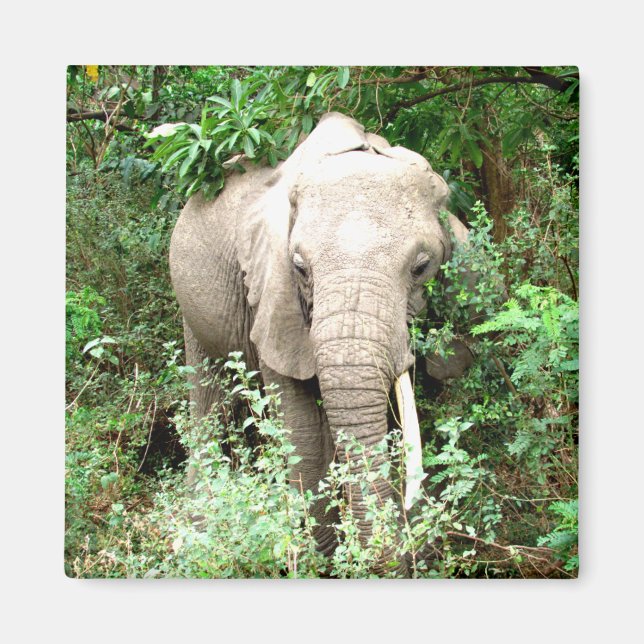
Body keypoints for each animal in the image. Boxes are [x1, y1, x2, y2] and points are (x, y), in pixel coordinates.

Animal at [169, 112, 473, 575]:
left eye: (422, 266)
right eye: (299, 268)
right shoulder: (270, 296)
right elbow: (303, 434)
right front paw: (325, 560)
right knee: (207, 397)